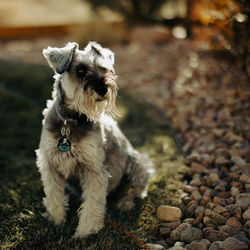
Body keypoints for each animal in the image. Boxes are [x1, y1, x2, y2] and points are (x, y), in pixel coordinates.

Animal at [35, 41, 152, 238]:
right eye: (81, 70)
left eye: (104, 69)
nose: (103, 88)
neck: (71, 120)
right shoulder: (50, 163)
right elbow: (53, 194)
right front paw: (56, 220)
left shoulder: (93, 168)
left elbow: (92, 202)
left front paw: (85, 233)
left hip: (139, 163)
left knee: (135, 190)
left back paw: (124, 203)